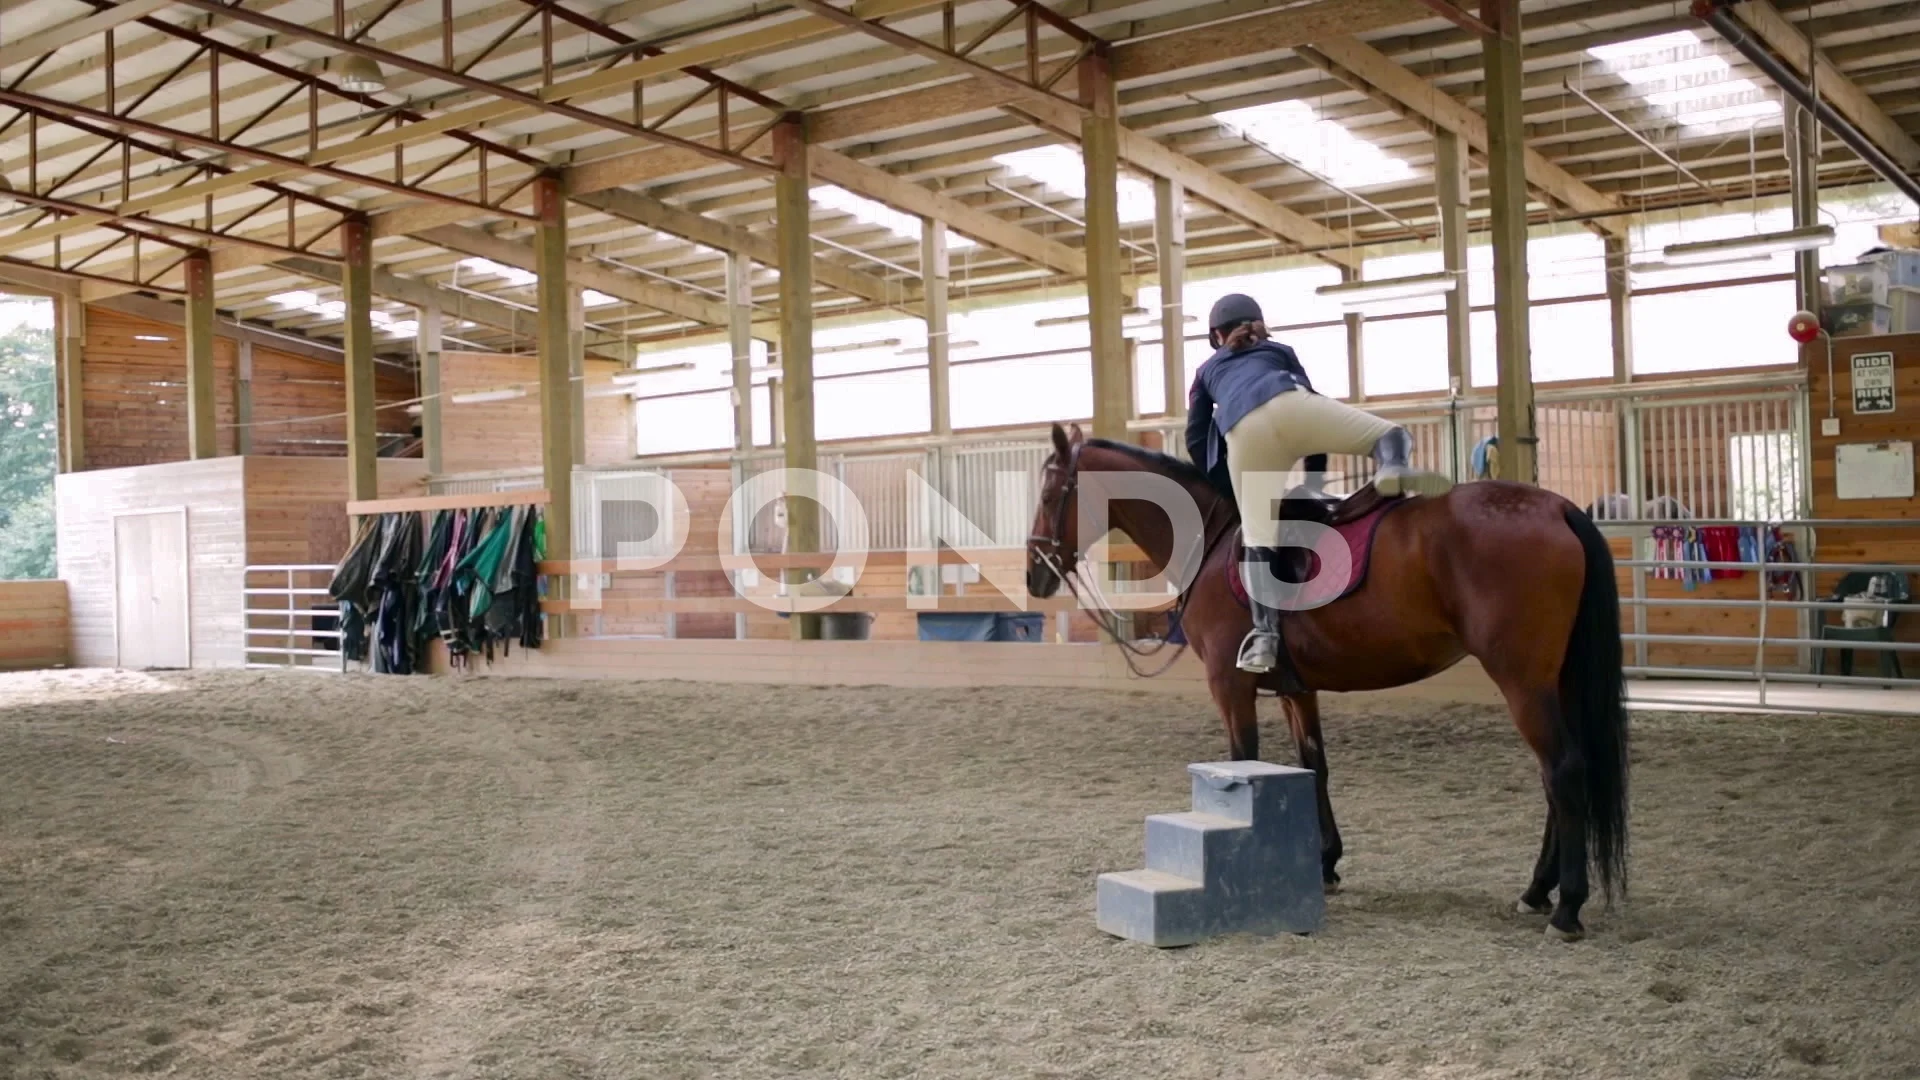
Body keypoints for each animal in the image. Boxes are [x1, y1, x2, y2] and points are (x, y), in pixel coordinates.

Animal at [1029, 420, 1628, 933]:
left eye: (1048, 495)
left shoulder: (1231, 687)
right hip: (1554, 682)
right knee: (1560, 776)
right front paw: (1324, 862)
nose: (1036, 572)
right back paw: (1538, 890)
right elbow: (1313, 765)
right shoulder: (1297, 690)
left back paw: (1566, 906)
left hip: (1523, 682)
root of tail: (1557, 508)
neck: (1217, 536)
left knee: (1562, 771)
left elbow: (1242, 758)